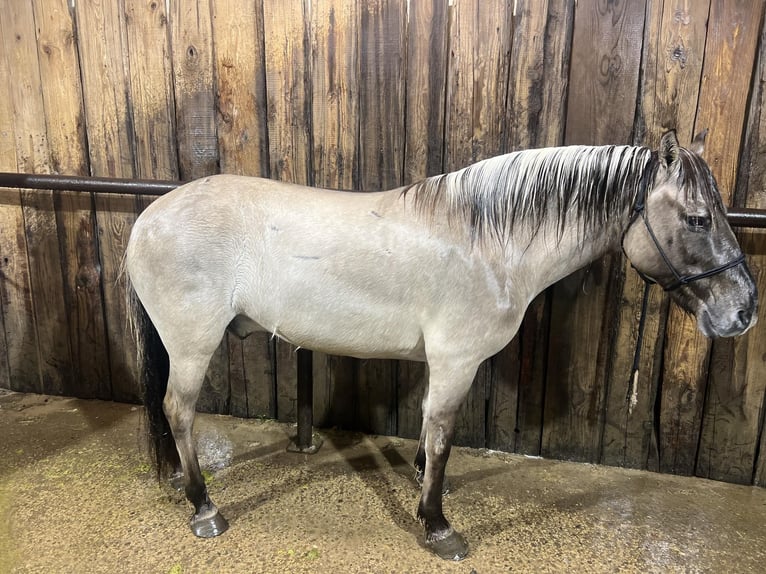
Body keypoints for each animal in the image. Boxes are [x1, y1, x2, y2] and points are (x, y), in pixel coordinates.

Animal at [125, 130, 757, 561]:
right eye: (698, 219)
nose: (744, 311)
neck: (488, 244)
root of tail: (149, 217)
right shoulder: (457, 362)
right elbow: (445, 434)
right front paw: (437, 524)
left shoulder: (440, 362)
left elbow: (430, 430)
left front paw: (426, 486)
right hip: (192, 346)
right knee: (178, 411)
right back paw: (204, 508)